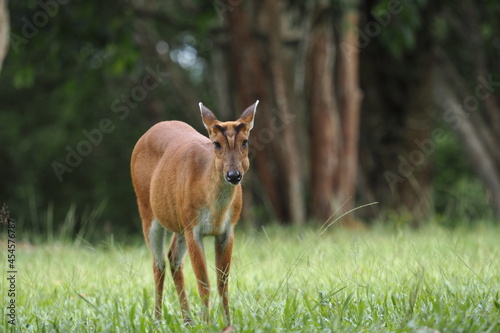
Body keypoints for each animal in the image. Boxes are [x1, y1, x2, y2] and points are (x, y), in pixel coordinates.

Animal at [130, 100, 258, 324]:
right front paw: (207, 324)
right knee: (158, 263)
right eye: (216, 144)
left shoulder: (228, 230)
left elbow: (222, 283)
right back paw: (157, 320)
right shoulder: (193, 228)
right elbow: (203, 283)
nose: (234, 175)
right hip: (147, 210)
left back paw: (187, 320)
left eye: (245, 142)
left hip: (179, 222)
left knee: (173, 258)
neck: (216, 211)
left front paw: (228, 323)